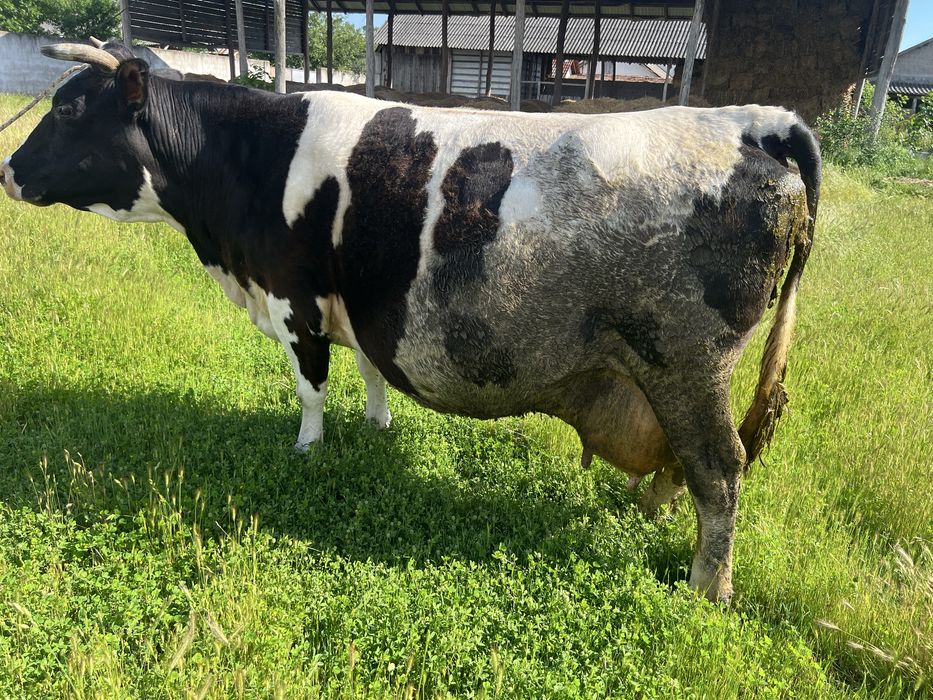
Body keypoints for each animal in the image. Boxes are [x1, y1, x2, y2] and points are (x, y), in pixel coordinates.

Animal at [1, 41, 820, 602]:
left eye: (70, 109)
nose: (7, 169)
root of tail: (755, 121)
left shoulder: (294, 298)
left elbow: (310, 387)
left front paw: (308, 449)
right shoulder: (357, 307)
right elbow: (368, 368)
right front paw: (376, 426)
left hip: (688, 363)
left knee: (721, 468)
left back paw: (706, 586)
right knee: (690, 463)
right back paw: (648, 509)